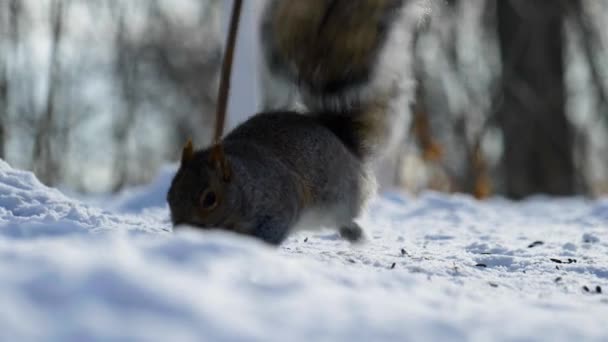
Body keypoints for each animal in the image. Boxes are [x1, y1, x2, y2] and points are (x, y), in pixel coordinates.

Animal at [164, 0, 426, 244]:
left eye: (210, 199)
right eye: (169, 195)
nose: (181, 229)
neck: (244, 184)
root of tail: (344, 142)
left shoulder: (282, 199)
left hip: (339, 199)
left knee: (346, 216)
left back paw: (355, 233)